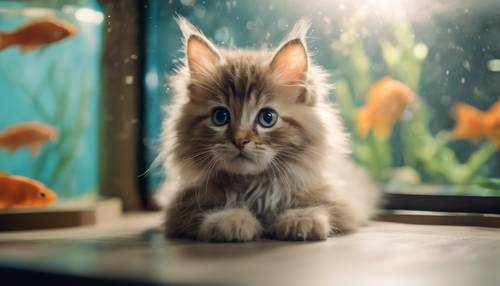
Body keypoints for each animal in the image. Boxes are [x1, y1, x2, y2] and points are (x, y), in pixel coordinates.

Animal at [160, 17, 378, 241]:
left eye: (267, 118)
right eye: (220, 117)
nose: (239, 140)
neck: (253, 187)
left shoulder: (342, 202)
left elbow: (319, 206)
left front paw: (301, 219)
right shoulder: (182, 208)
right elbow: (210, 210)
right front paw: (230, 219)